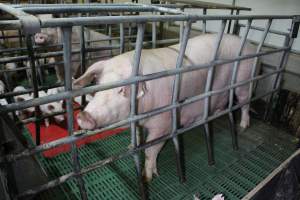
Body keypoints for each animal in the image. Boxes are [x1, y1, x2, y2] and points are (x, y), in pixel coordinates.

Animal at [74, 34, 256, 181]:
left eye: (121, 90)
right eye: (99, 86)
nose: (83, 116)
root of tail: (249, 44)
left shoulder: (164, 123)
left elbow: (150, 150)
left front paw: (148, 177)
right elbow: (138, 135)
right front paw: (131, 147)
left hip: (244, 79)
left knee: (245, 103)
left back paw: (243, 126)